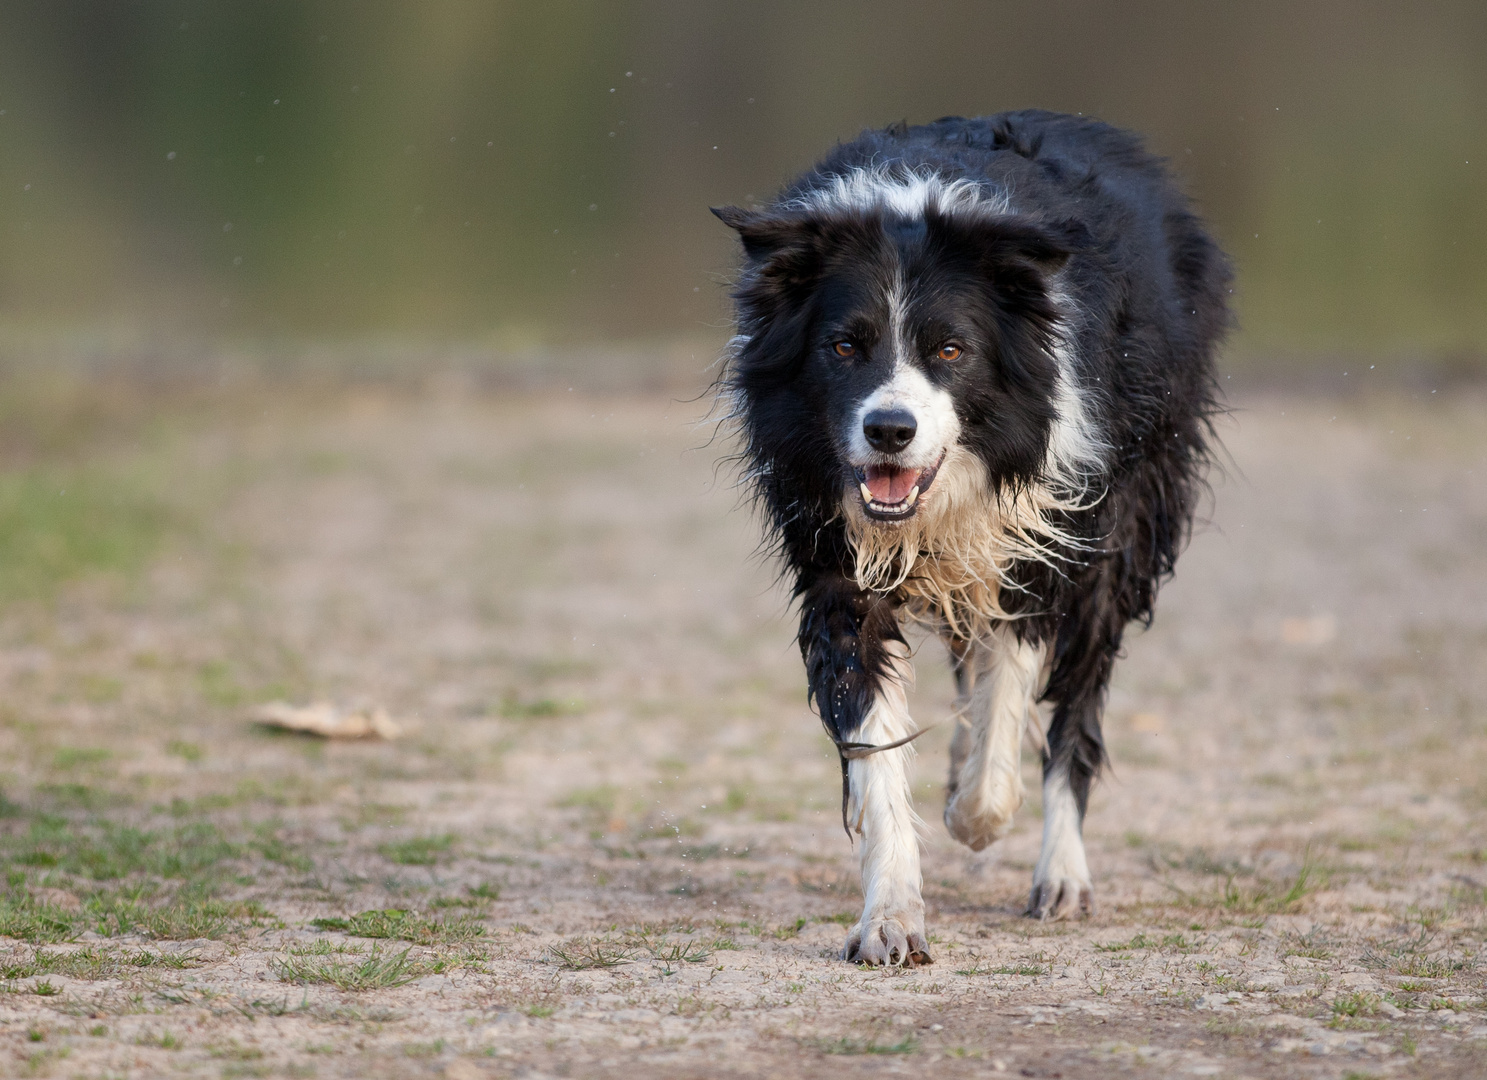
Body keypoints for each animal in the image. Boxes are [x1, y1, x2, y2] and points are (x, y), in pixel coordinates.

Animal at [713, 114, 1225, 969]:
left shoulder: (1048, 531)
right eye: (843, 347)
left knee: (1072, 708)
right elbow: (876, 740)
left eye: (949, 350)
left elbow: (1008, 694)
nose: (889, 430)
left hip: (1130, 519)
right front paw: (889, 918)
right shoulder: (837, 563)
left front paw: (978, 813)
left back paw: (1060, 874)